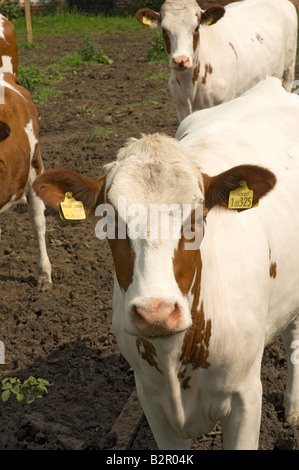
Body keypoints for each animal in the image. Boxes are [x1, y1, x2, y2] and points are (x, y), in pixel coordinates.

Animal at [33, 79, 299, 450]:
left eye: (198, 217)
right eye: (109, 220)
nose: (155, 312)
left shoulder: (246, 398)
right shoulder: (152, 402)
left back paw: (292, 409)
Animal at [137, 0, 298, 123]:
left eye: (196, 28)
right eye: (164, 30)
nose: (180, 60)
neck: (189, 86)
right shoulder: (180, 108)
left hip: (288, 67)